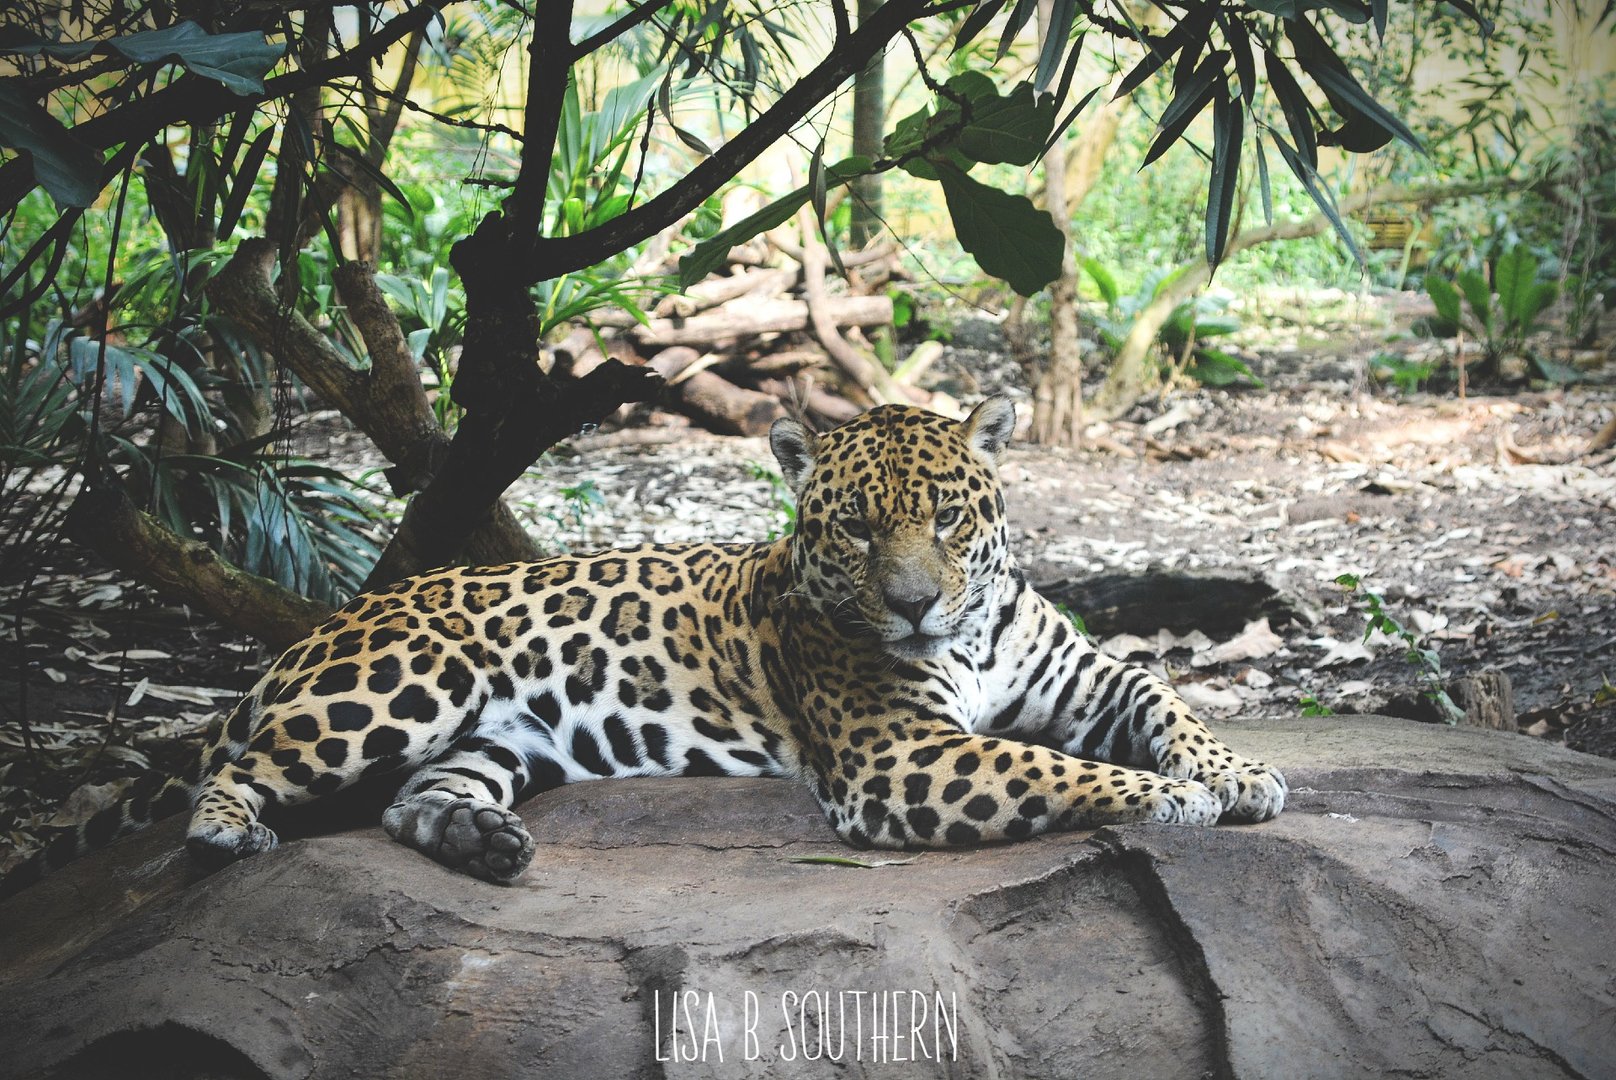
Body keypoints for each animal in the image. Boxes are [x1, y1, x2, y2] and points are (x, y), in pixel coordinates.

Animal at [5, 396, 1285, 894]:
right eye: (855, 528)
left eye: (946, 517)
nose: (915, 605)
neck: (967, 637)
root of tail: (330, 620)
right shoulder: (900, 759)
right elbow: (1049, 765)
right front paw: (1166, 798)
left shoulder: (1082, 674)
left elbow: (1164, 696)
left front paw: (1238, 772)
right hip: (411, 678)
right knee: (234, 768)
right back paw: (229, 832)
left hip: (500, 736)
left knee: (414, 798)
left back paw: (481, 841)